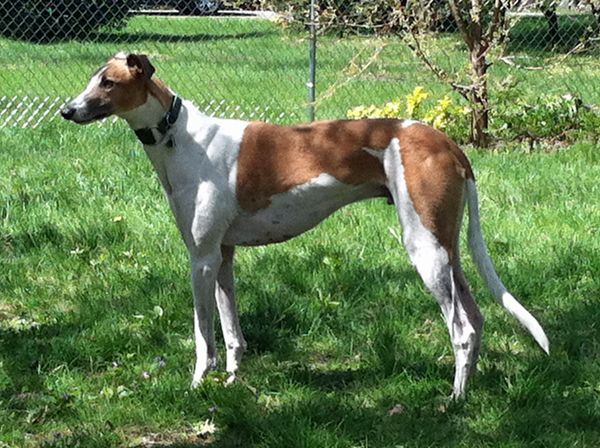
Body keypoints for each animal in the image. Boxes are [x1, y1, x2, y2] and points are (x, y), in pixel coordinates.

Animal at [61, 53, 548, 400]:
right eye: (93, 78)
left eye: (108, 82)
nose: (67, 111)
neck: (177, 136)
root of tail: (447, 142)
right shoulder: (223, 257)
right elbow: (233, 334)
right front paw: (234, 383)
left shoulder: (200, 259)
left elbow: (204, 337)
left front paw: (198, 385)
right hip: (447, 249)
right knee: (477, 319)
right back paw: (468, 390)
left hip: (424, 249)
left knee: (461, 329)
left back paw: (453, 401)